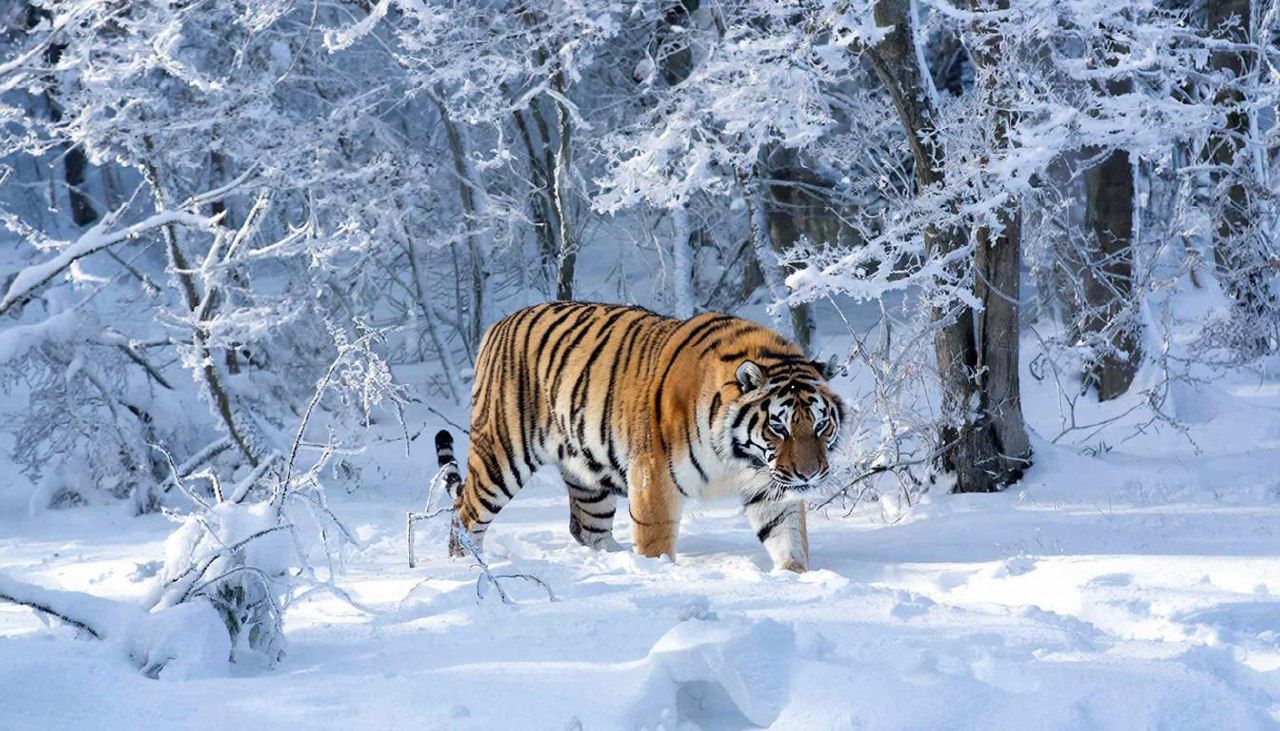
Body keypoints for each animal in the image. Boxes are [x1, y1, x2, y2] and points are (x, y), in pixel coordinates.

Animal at [434, 301, 845, 572]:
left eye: (820, 425)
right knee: (464, 516)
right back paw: (466, 568)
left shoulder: (769, 485)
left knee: (587, 528)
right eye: (779, 427)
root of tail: (498, 324)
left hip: (587, 474)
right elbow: (655, 539)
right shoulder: (653, 475)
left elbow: (788, 537)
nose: (810, 474)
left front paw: (795, 578)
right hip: (500, 455)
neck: (738, 457)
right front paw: (659, 574)